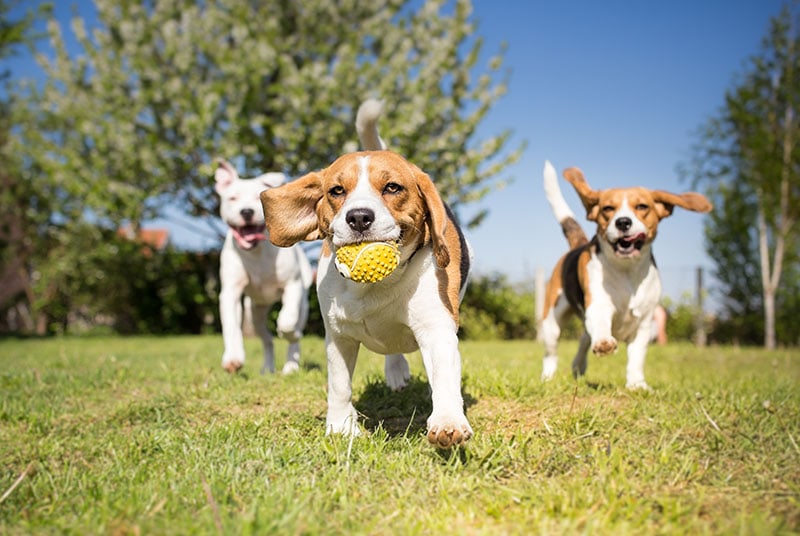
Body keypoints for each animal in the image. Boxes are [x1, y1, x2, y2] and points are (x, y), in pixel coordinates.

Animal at [214, 161, 314, 374]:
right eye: (232, 198)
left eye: (257, 198)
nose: (246, 211)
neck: (256, 252)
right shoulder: (230, 292)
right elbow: (231, 326)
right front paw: (233, 358)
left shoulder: (292, 286)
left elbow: (287, 321)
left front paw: (290, 333)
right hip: (255, 313)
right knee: (267, 339)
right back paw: (267, 368)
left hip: (303, 304)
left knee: (294, 331)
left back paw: (291, 366)